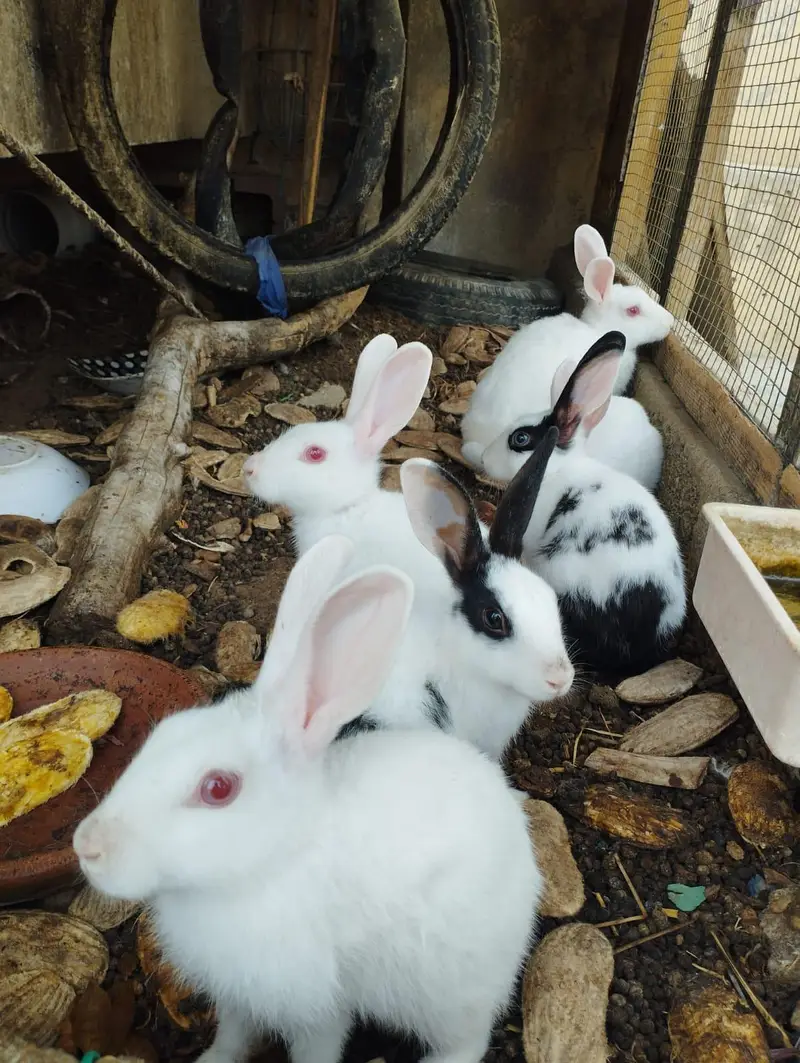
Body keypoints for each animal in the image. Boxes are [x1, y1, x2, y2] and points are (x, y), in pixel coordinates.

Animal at [74, 535, 541, 1063]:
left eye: (218, 788)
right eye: (161, 735)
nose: (87, 847)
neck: (276, 860)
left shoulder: (315, 1009)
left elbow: (316, 1047)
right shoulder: (239, 997)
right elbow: (233, 1035)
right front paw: (212, 1059)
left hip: (448, 993)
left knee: (468, 1038)